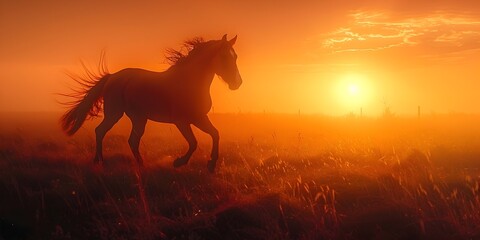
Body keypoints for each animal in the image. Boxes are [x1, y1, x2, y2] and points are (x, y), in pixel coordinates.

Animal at [60, 34, 242, 172]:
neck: (189, 82)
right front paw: (179, 162)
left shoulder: (199, 118)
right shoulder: (182, 121)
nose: (237, 83)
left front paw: (211, 164)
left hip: (138, 117)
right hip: (116, 113)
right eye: (224, 56)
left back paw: (135, 164)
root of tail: (112, 77)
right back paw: (101, 161)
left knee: (130, 140)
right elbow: (193, 143)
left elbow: (215, 134)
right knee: (102, 132)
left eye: (236, 56)